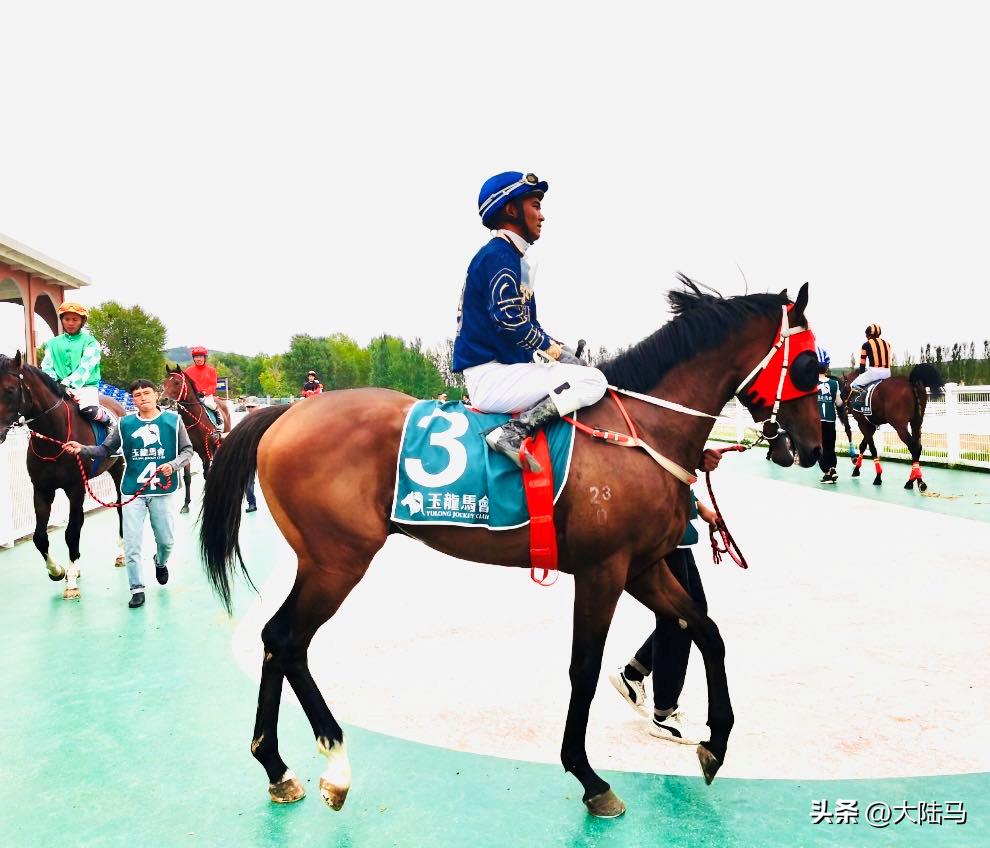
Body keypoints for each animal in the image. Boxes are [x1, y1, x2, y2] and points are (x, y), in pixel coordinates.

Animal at [0, 352, 126, 600]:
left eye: (9, 390)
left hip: (119, 470)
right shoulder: (42, 489)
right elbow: (40, 537)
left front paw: (71, 583)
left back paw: (120, 554)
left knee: (120, 507)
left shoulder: (75, 488)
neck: (53, 437)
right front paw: (58, 571)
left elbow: (71, 532)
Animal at [159, 365, 224, 514]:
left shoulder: (207, 450)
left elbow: (207, 474)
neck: (193, 420)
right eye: (164, 382)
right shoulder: (186, 452)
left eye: (177, 382)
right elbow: (187, 477)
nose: (163, 400)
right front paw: (186, 503)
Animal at [199, 281, 824, 818]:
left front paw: (716, 743)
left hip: (323, 562)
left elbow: (705, 629)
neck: (642, 431)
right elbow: (584, 668)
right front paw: (588, 777)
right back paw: (335, 765)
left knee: (275, 640)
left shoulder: (643, 566)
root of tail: (289, 410)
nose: (813, 447)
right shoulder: (602, 571)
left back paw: (277, 766)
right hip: (338, 561)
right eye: (810, 366)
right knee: (288, 640)